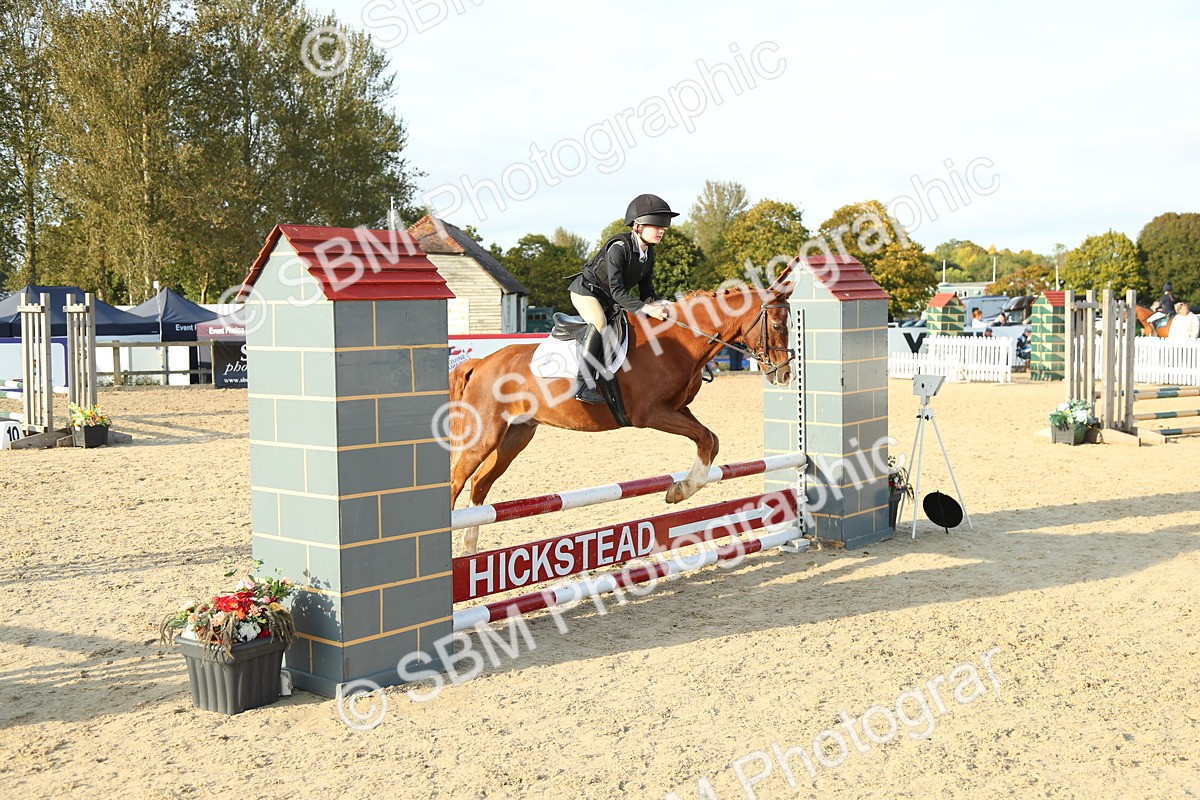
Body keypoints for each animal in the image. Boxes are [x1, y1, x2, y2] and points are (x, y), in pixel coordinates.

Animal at [447, 284, 796, 554]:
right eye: (779, 327)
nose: (785, 374)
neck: (680, 341)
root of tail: (480, 363)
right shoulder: (651, 413)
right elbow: (706, 438)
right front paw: (679, 491)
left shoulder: (678, 409)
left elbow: (711, 439)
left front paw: (680, 489)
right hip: (485, 434)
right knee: (457, 481)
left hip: (515, 436)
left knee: (480, 483)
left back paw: (469, 547)